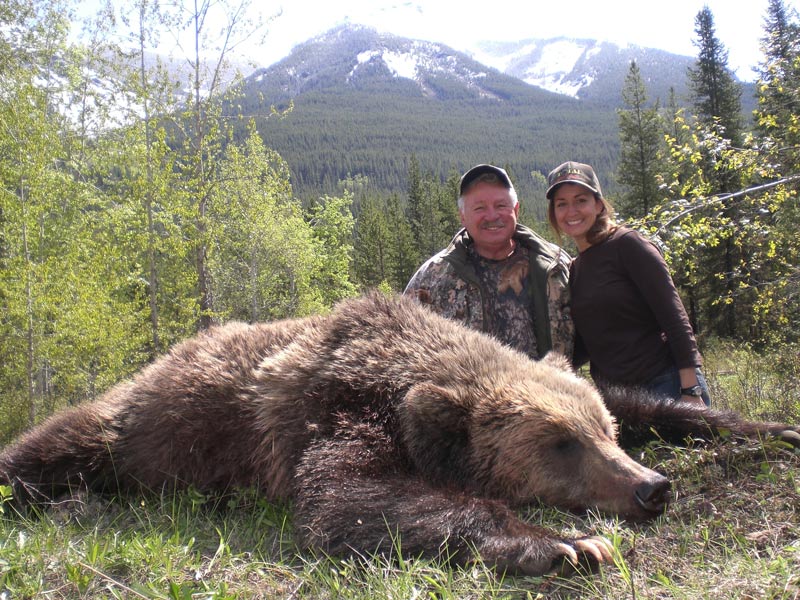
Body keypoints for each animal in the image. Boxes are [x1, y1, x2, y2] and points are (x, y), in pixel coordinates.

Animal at [0, 292, 796, 576]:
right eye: (558, 445)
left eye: (601, 431)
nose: (650, 487)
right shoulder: (333, 408)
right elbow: (349, 497)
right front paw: (565, 543)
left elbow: (648, 400)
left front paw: (770, 426)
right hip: (137, 422)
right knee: (63, 441)